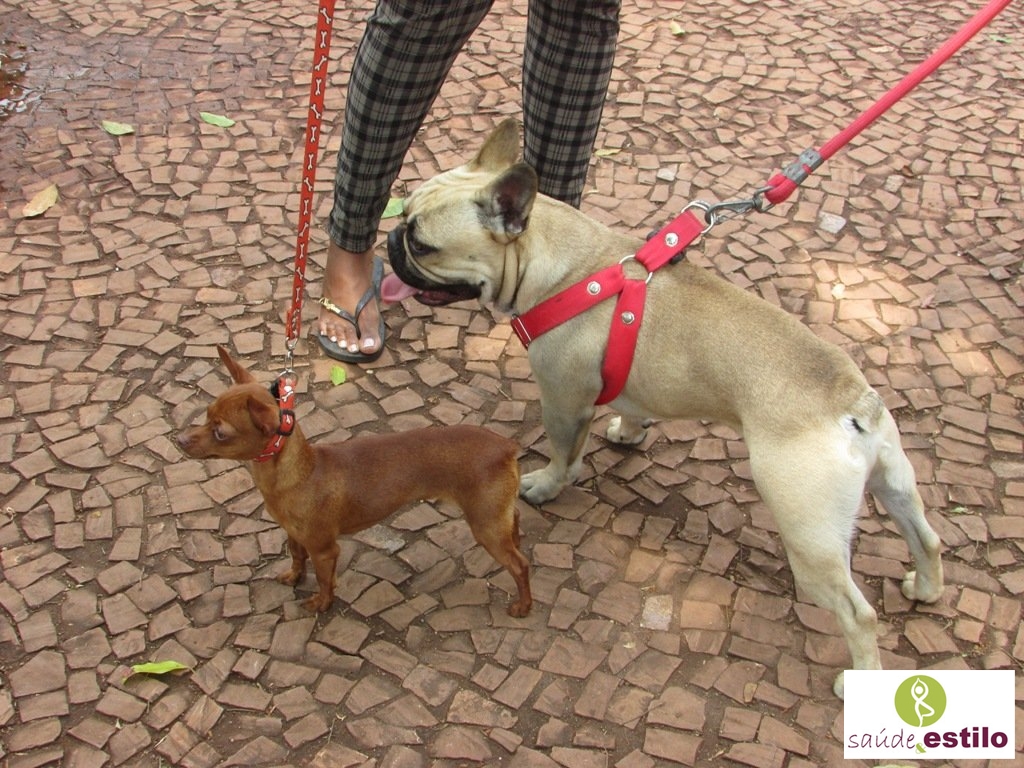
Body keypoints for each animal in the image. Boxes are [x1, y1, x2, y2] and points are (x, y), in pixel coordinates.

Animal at [176, 346, 532, 618]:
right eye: (205, 415)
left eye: (221, 433)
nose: (179, 440)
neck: (301, 473)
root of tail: (506, 446)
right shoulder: (294, 534)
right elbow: (296, 555)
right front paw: (294, 576)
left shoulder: (324, 550)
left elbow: (324, 580)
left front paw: (322, 604)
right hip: (497, 516)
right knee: (515, 522)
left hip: (485, 526)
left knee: (520, 565)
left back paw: (523, 606)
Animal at [382, 118, 944, 697]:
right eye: (403, 219)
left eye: (423, 244)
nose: (391, 240)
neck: (555, 262)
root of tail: (855, 403)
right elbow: (633, 406)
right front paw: (629, 433)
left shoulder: (561, 398)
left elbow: (564, 455)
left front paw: (546, 485)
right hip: (893, 482)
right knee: (927, 537)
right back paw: (925, 588)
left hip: (808, 532)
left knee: (859, 613)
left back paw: (860, 677)